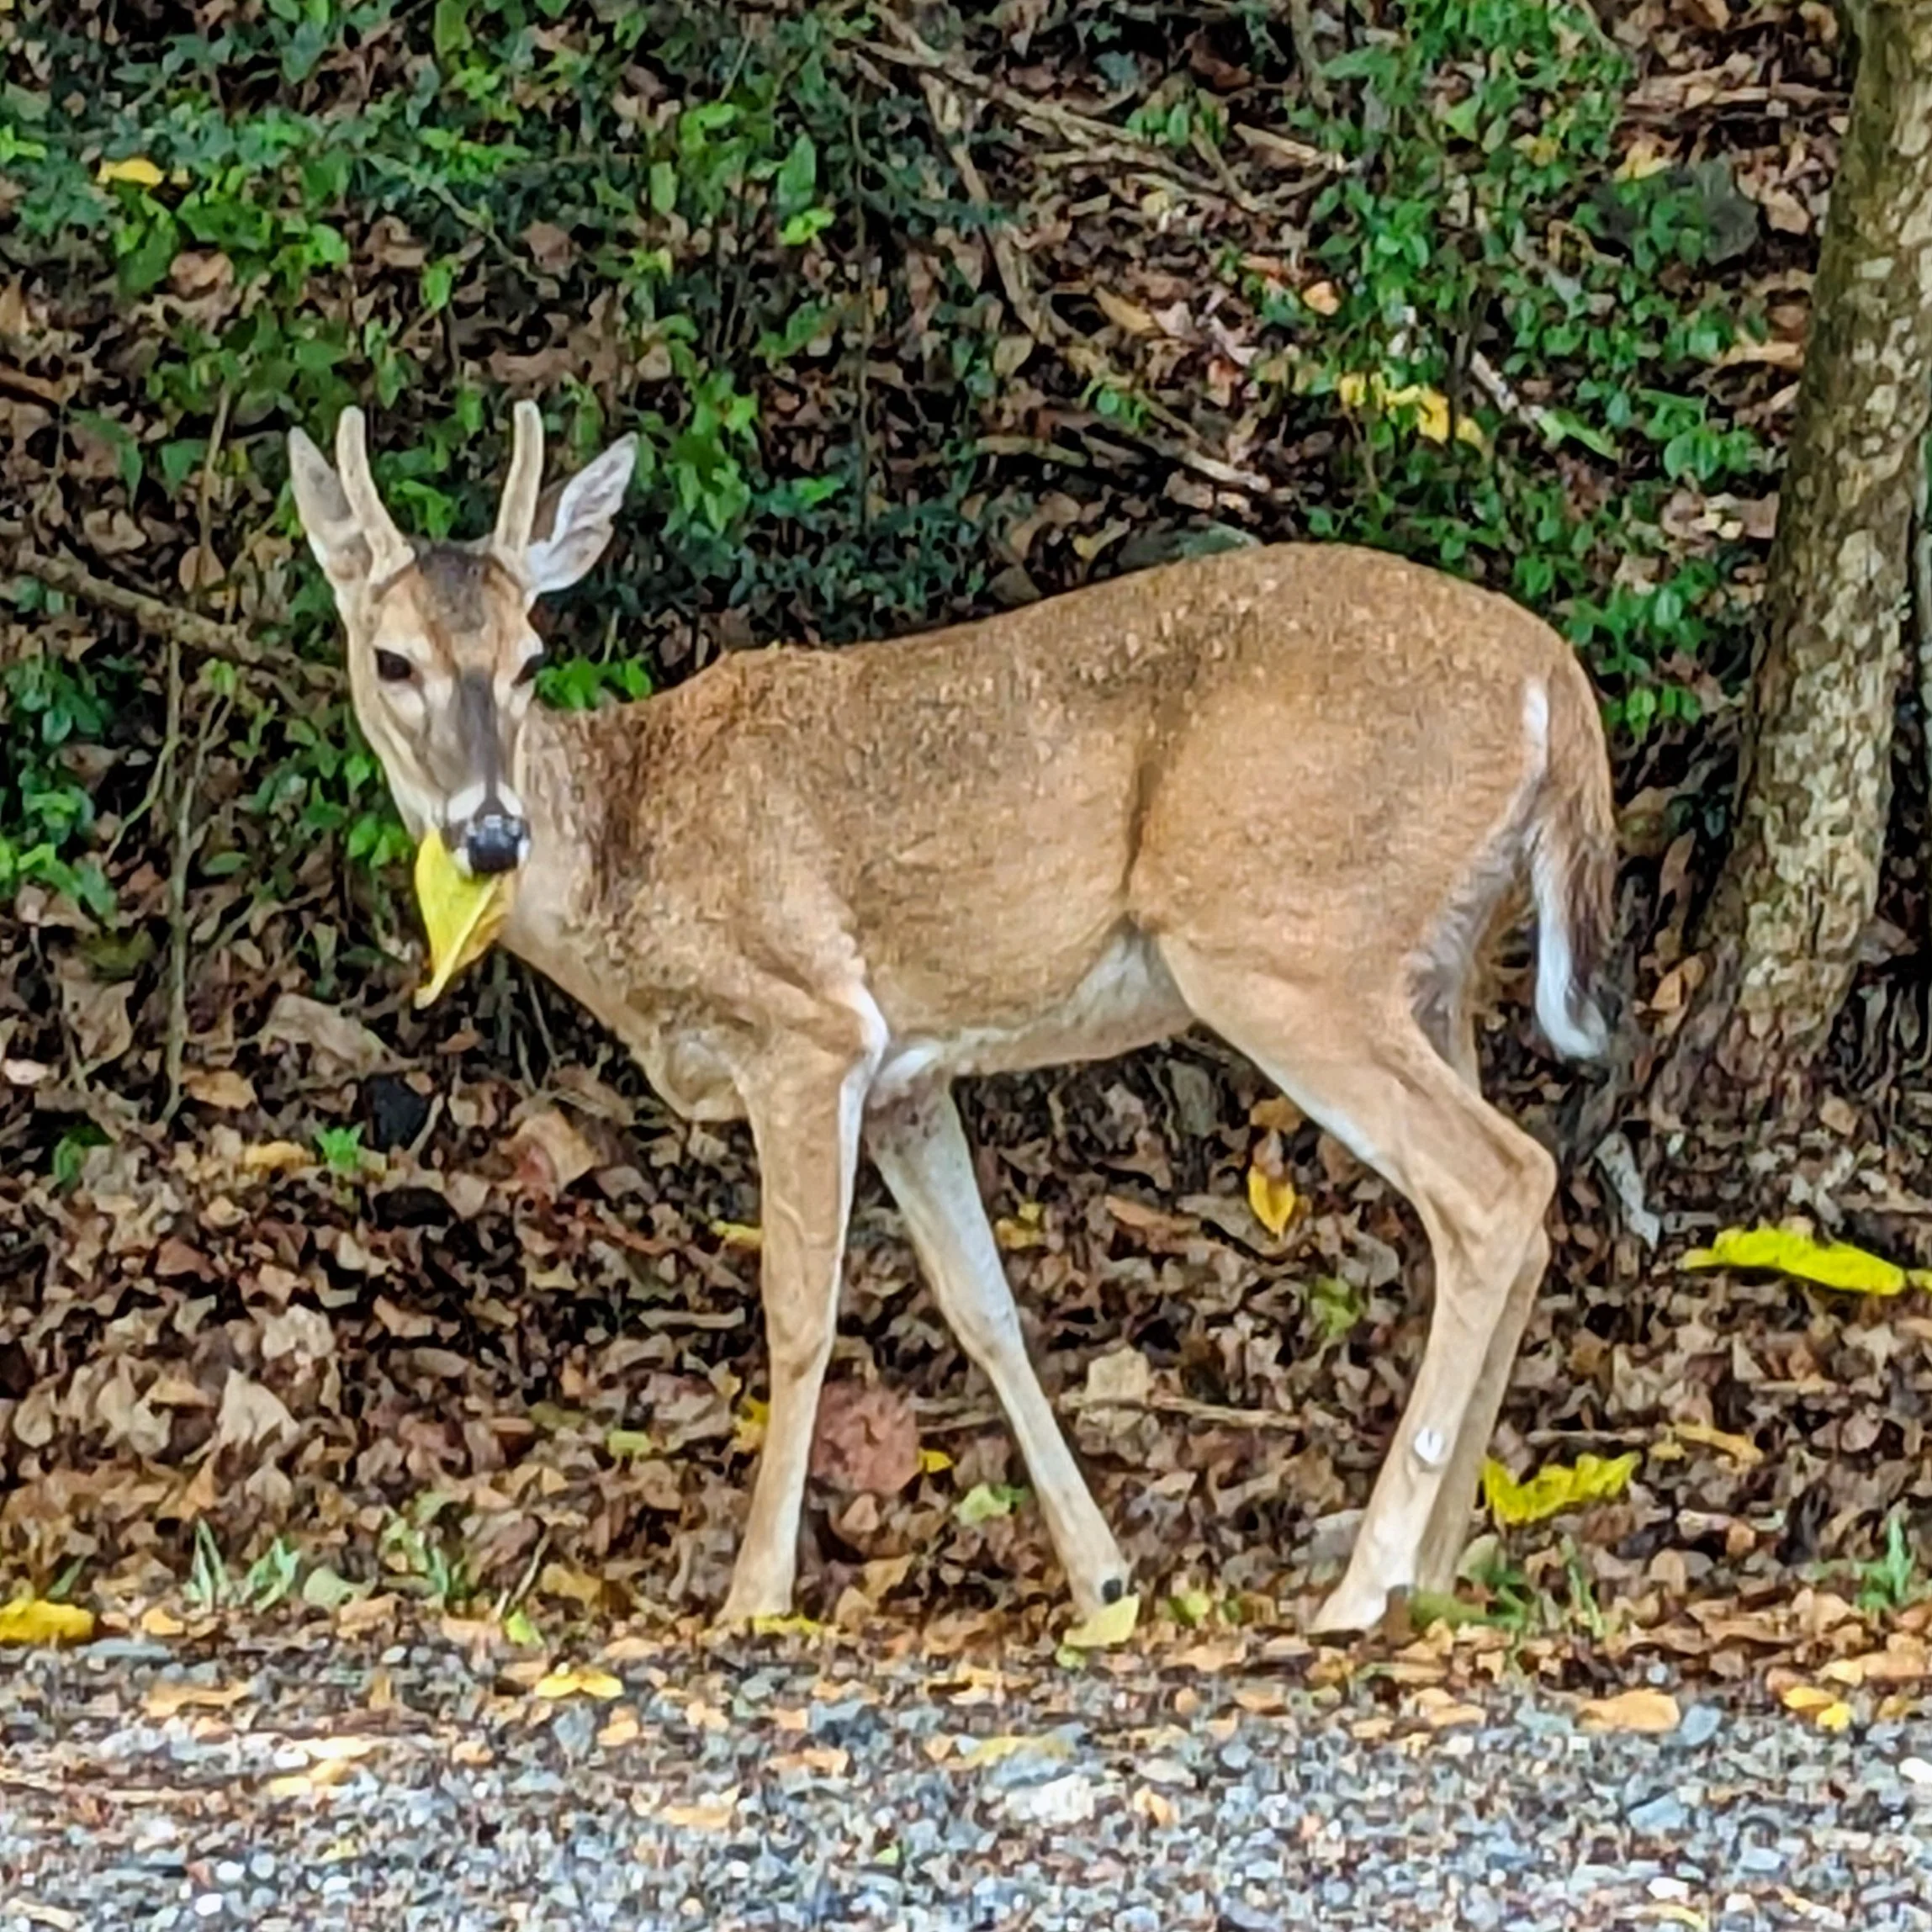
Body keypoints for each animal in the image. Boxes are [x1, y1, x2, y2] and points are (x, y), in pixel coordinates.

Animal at [286, 399, 1618, 1638]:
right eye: (391, 659)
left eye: (528, 656)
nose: (489, 834)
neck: (627, 851)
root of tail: (1554, 682)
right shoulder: (908, 1076)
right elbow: (984, 1307)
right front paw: (1102, 1580)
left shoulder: (808, 1029)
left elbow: (799, 1313)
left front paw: (754, 1593)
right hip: (1433, 968)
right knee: (1514, 1204)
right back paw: (1433, 1574)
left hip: (1285, 947)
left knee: (1497, 1184)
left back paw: (1364, 1582)